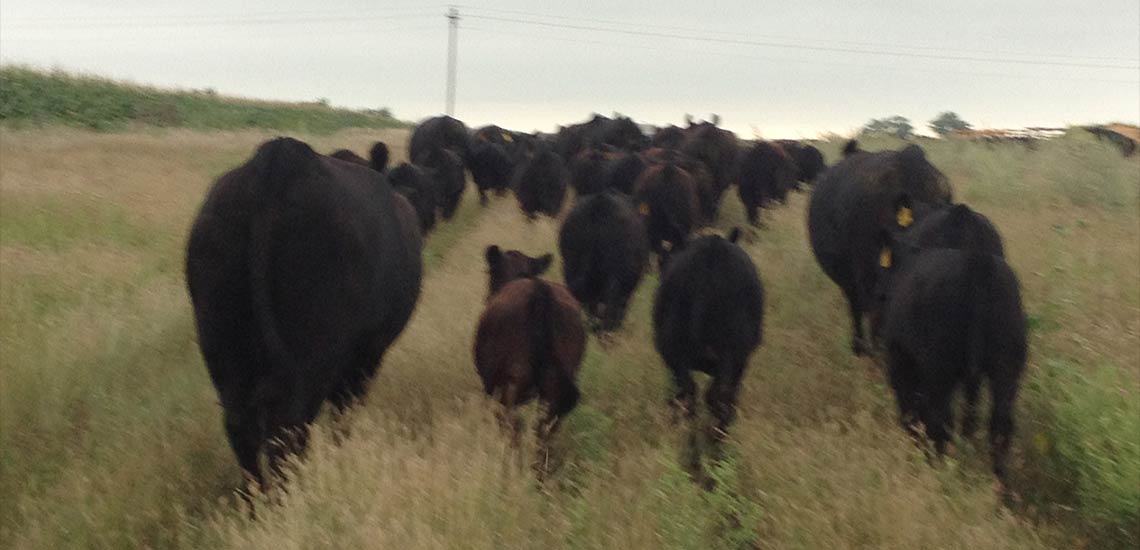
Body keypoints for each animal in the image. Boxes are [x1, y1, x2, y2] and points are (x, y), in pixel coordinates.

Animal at [185, 136, 424, 486]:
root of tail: (279, 160)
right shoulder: (368, 351)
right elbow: (345, 408)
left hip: (220, 341)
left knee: (241, 423)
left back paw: (255, 495)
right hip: (312, 346)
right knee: (289, 424)